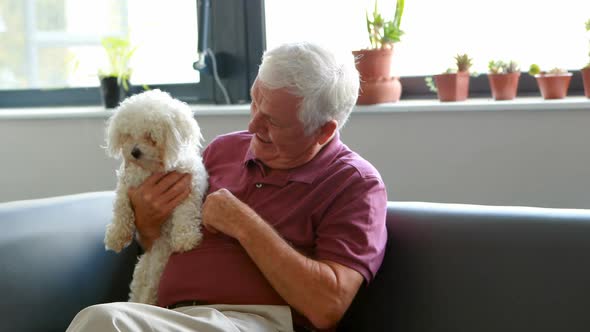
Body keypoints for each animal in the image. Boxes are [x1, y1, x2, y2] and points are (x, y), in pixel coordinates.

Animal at [103, 89, 208, 304]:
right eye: (128, 135)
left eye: (150, 136)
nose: (134, 152)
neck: (152, 169)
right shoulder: (127, 186)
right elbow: (121, 209)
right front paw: (116, 235)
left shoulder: (190, 186)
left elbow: (186, 213)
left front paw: (186, 238)